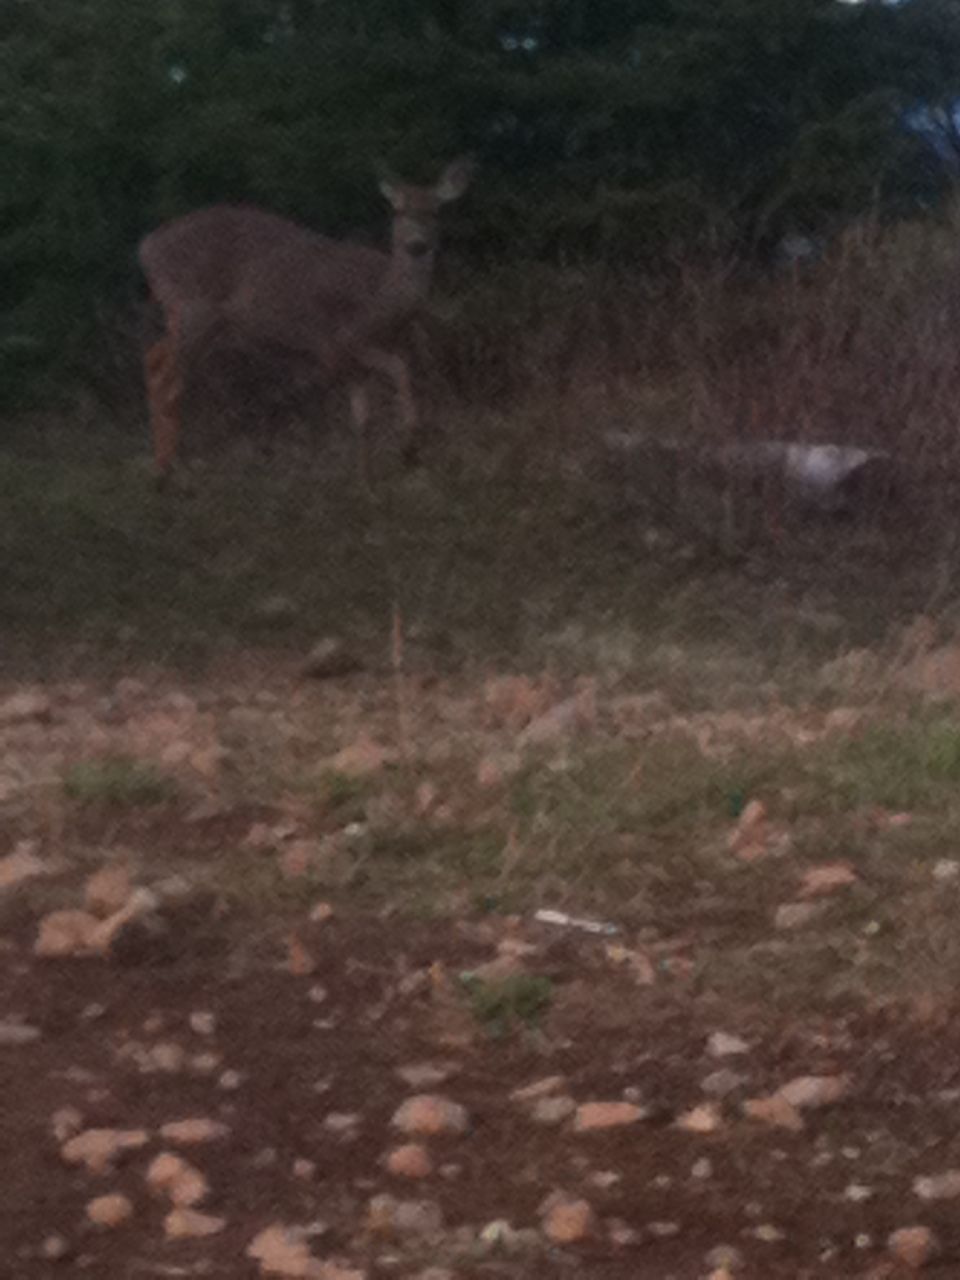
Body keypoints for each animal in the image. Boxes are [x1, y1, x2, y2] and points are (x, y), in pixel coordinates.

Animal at [138, 158, 474, 485]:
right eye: (399, 210)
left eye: (435, 211)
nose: (416, 244)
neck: (384, 302)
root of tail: (147, 248)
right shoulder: (340, 342)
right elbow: (400, 370)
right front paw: (409, 447)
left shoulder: (357, 365)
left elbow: (362, 419)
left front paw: (367, 482)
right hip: (194, 311)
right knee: (169, 381)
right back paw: (169, 470)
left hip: (196, 321)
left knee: (155, 358)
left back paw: (160, 467)